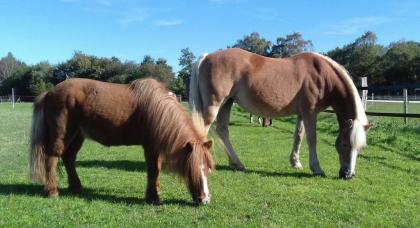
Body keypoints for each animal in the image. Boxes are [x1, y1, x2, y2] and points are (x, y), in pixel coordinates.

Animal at [28, 77, 217, 204]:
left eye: (208, 169)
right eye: (191, 169)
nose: (205, 200)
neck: (156, 109)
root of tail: (49, 92)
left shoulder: (157, 147)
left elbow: (156, 170)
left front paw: (155, 193)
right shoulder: (150, 146)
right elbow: (153, 170)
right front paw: (153, 197)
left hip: (77, 136)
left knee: (69, 159)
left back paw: (76, 188)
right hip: (62, 135)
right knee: (52, 159)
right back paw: (53, 192)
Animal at [189, 48, 372, 179]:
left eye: (361, 147)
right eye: (344, 144)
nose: (348, 175)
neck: (322, 74)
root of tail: (206, 56)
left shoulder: (302, 113)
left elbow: (298, 136)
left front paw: (295, 163)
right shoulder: (310, 112)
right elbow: (312, 138)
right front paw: (317, 168)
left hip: (227, 103)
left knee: (222, 131)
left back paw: (236, 163)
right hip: (214, 106)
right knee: (203, 129)